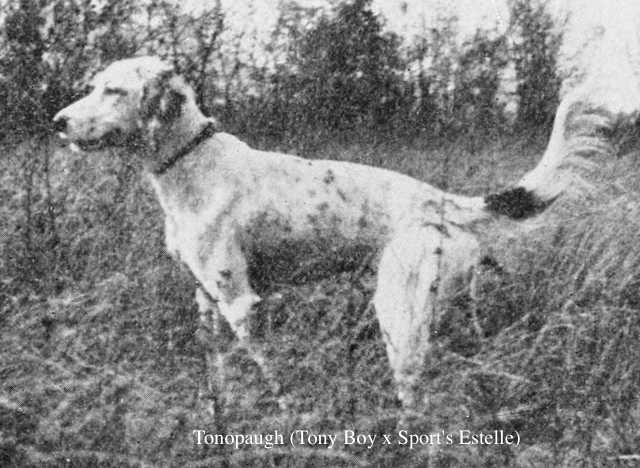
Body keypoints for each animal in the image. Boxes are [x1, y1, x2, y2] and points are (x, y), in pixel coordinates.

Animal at [53, 54, 564, 406]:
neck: (192, 163)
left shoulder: (239, 301)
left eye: (114, 91)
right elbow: (217, 373)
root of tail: (442, 200)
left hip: (400, 317)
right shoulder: (206, 297)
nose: (58, 122)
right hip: (454, 313)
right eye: (94, 86)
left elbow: (270, 372)